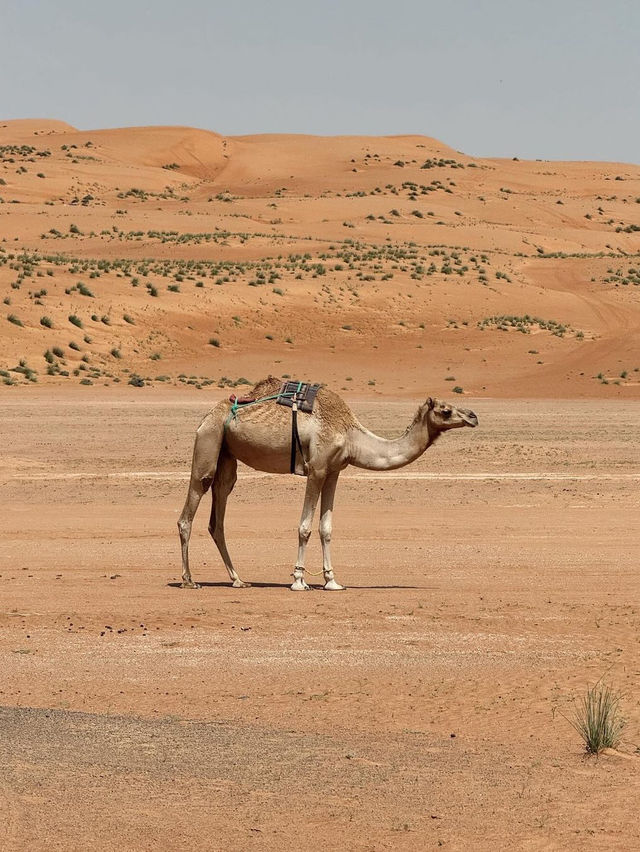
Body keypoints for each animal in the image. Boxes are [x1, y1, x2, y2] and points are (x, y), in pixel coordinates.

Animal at [178, 380, 478, 592]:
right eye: (446, 410)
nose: (473, 416)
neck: (352, 437)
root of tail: (206, 416)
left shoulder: (334, 472)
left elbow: (326, 528)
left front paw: (332, 581)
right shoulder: (317, 468)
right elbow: (305, 527)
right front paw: (299, 580)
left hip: (227, 454)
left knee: (218, 513)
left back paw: (238, 579)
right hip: (209, 439)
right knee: (192, 505)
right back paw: (189, 580)